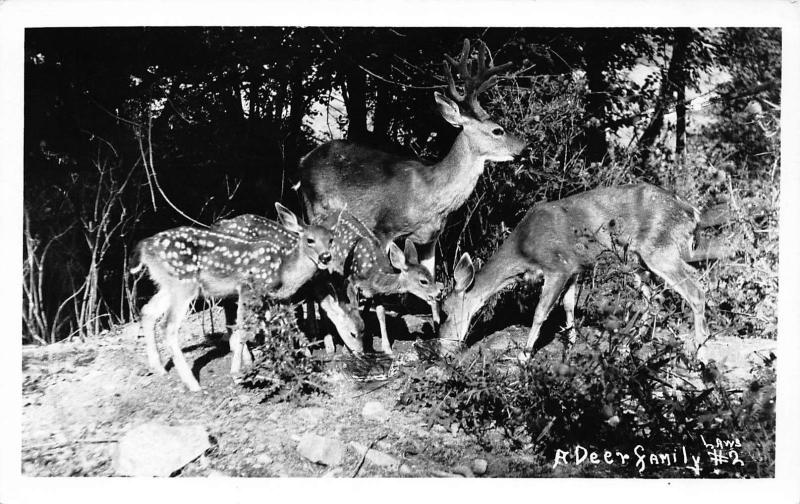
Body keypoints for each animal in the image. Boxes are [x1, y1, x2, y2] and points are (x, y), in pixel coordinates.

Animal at [133, 203, 332, 392]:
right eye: (310, 240)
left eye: (331, 239)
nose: (326, 257)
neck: (282, 270)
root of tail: (144, 247)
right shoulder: (247, 288)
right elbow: (243, 329)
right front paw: (236, 374)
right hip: (184, 283)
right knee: (168, 326)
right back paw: (193, 384)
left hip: (169, 285)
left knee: (147, 311)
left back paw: (159, 368)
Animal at [296, 38, 528, 276]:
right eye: (497, 130)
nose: (524, 147)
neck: (431, 192)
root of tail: (304, 160)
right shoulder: (384, 228)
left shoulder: (430, 239)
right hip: (314, 206)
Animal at [438, 183, 724, 364]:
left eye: (446, 312)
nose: (443, 350)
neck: (523, 248)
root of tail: (692, 213)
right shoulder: (576, 268)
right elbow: (568, 304)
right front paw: (572, 342)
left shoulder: (558, 265)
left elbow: (540, 312)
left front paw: (524, 355)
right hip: (637, 259)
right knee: (656, 297)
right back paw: (625, 348)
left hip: (659, 249)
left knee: (695, 290)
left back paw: (698, 352)